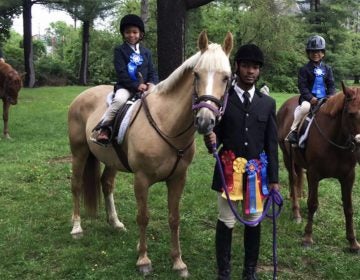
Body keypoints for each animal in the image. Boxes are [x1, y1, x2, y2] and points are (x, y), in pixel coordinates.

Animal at [67, 31, 233, 276]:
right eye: (196, 74)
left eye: (226, 78)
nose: (205, 120)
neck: (167, 124)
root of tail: (82, 95)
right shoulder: (141, 179)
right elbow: (143, 217)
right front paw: (143, 260)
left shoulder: (178, 179)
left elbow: (174, 218)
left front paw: (178, 262)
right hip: (79, 153)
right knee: (76, 185)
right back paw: (77, 227)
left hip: (112, 161)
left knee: (106, 184)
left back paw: (115, 223)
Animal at [278, 82, 360, 253]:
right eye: (350, 114)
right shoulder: (314, 173)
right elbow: (312, 203)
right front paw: (308, 238)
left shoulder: (349, 176)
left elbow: (348, 208)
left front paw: (353, 242)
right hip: (287, 157)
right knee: (293, 180)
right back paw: (296, 213)